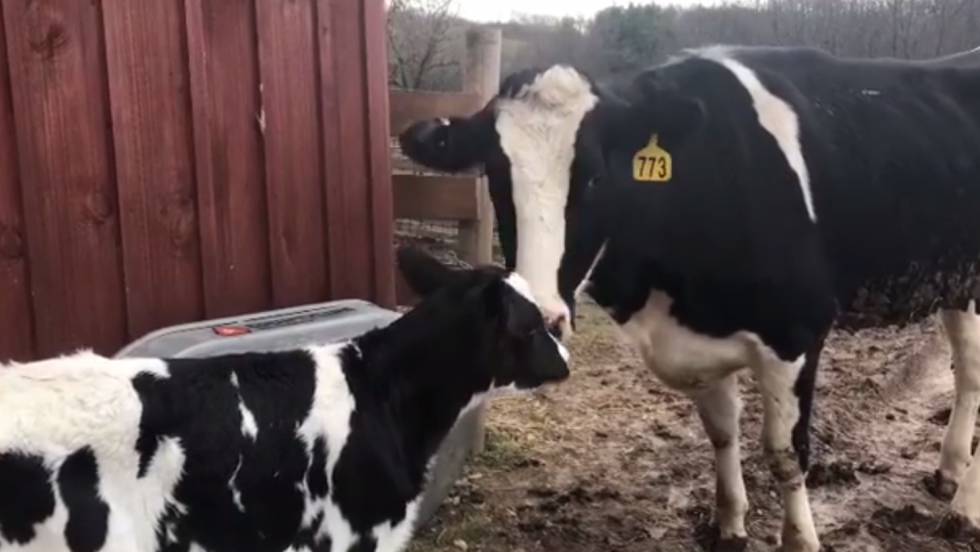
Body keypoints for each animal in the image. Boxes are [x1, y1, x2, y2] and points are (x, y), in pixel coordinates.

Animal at [398, 45, 980, 548]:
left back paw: (963, 513)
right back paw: (949, 475)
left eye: (596, 177)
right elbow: (722, 433)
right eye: (497, 177)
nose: (541, 316)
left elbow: (785, 454)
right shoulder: (697, 340)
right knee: (968, 374)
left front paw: (799, 539)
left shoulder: (797, 330)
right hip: (960, 287)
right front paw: (730, 526)